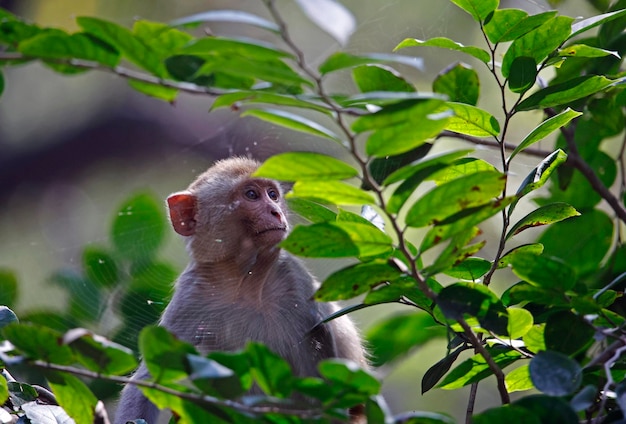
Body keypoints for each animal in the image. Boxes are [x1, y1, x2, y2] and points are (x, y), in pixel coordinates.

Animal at [116, 157, 366, 422]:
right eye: (251, 195)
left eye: (273, 195)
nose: (276, 211)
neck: (245, 281)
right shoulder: (191, 295)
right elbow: (150, 375)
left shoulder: (295, 279)